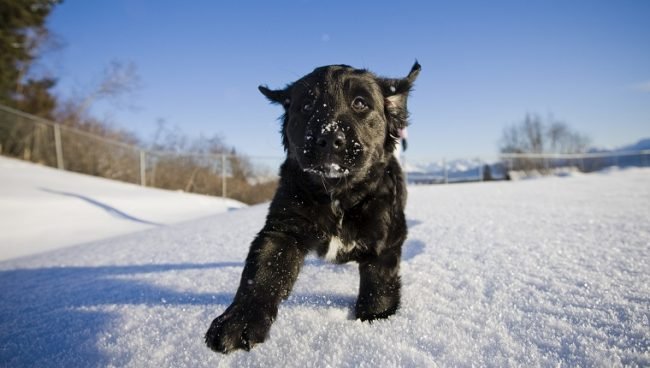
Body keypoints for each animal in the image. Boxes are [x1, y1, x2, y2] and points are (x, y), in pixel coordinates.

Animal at [205, 61, 422, 352]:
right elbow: (263, 271)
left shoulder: (386, 237)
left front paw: (376, 320)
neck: (338, 196)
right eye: (307, 106)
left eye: (360, 103)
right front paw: (237, 322)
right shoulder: (284, 228)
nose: (330, 137)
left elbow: (379, 282)